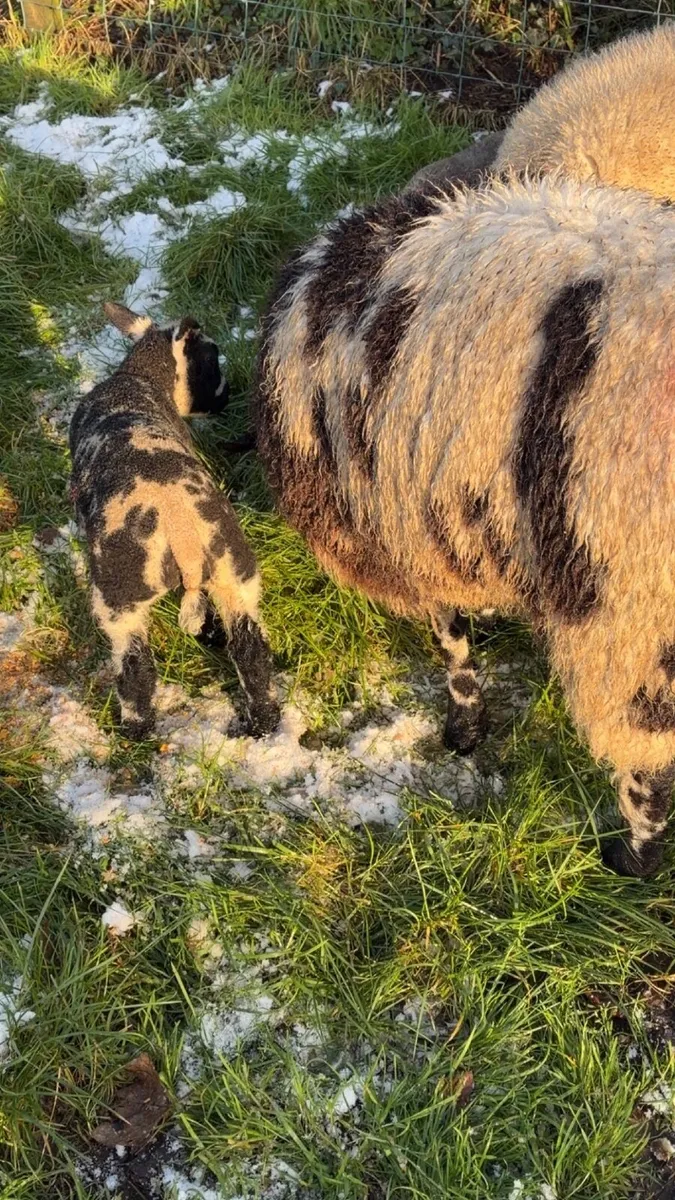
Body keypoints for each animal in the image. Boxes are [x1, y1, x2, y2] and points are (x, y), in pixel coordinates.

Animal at [70, 302, 280, 741]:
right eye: (212, 357)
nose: (228, 396)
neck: (140, 376)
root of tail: (178, 524)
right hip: (234, 567)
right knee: (250, 649)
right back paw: (264, 720)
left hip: (119, 596)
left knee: (135, 667)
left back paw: (136, 730)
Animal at [254, 173, 675, 878]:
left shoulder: (407, 533)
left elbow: (451, 643)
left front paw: (464, 728)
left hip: (629, 608)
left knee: (646, 763)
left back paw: (631, 860)